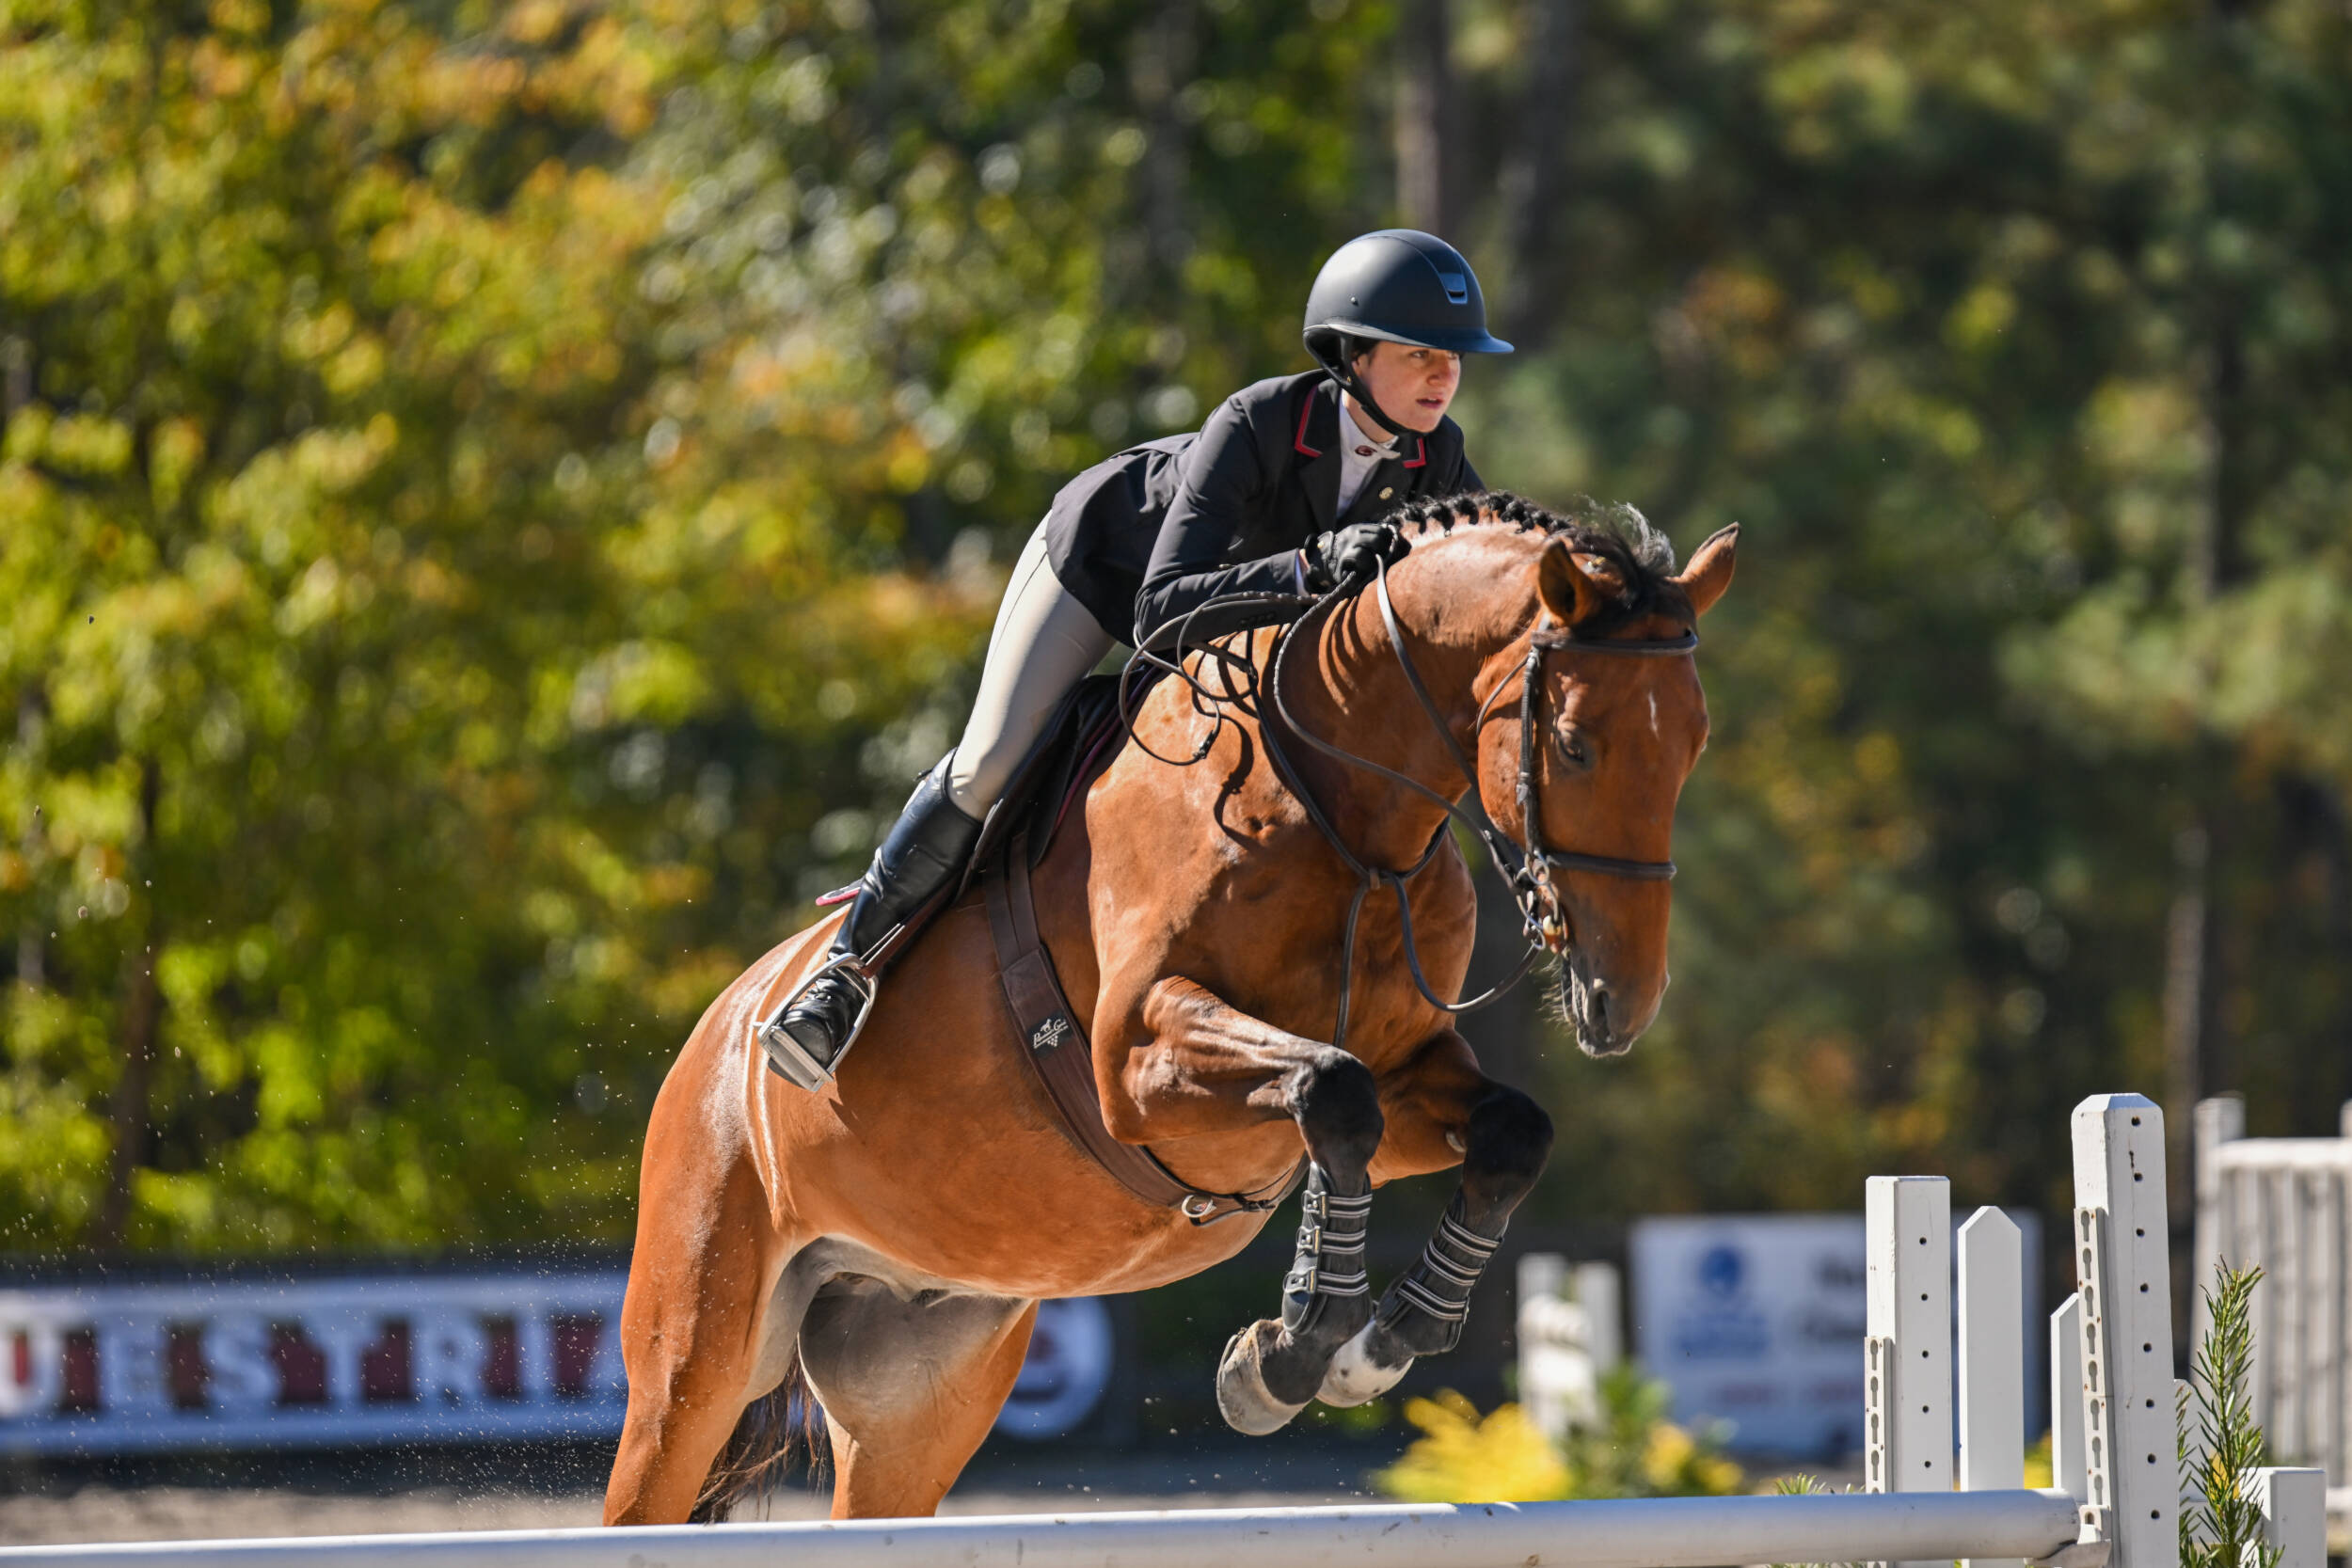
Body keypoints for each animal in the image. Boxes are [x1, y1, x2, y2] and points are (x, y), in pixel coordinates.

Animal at [597, 491, 1740, 1523]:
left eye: (1695, 743)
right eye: (1577, 744)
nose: (1621, 1000)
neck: (1341, 813)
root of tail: (717, 1029)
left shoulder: (1410, 1073)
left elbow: (1504, 1130)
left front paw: (1368, 1351)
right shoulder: (1138, 1065)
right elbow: (1332, 1089)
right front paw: (1288, 1353)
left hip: (918, 1385)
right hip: (692, 1356)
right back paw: (816, 1014)